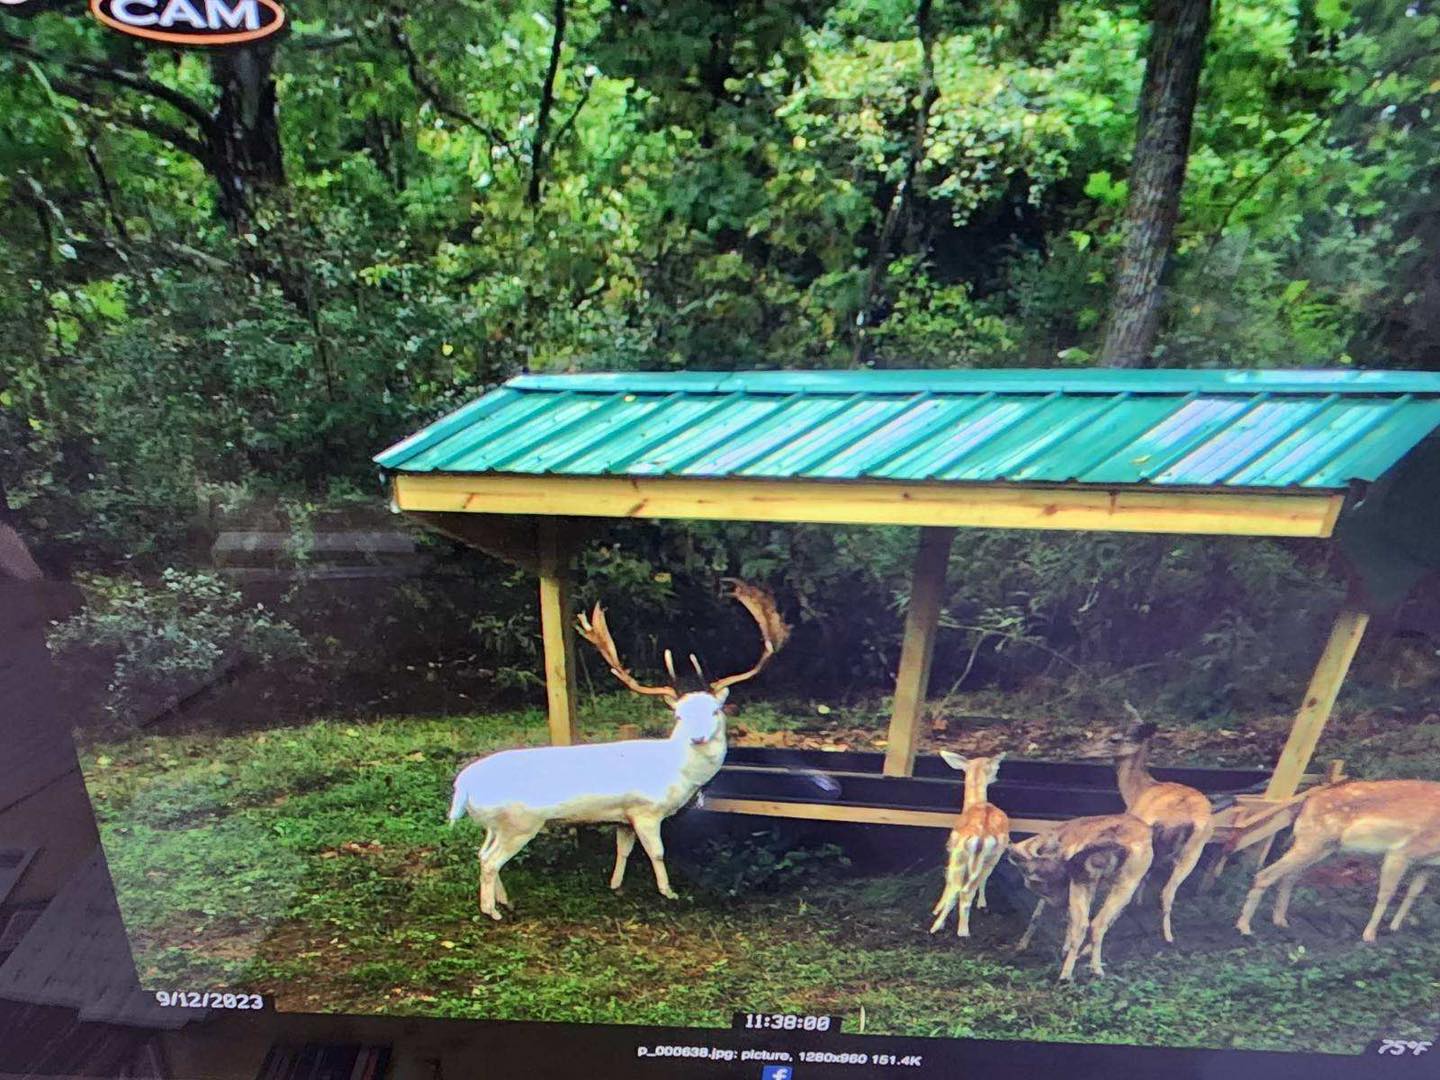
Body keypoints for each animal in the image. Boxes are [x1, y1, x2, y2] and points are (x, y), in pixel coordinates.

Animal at [448, 580, 789, 921]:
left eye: (716, 711)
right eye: (679, 715)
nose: (698, 736)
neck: (677, 773)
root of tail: (463, 786)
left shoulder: (624, 816)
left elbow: (623, 849)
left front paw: (615, 884)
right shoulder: (646, 810)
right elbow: (658, 852)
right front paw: (668, 892)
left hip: (495, 823)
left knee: (481, 853)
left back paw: (503, 900)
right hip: (519, 821)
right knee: (490, 860)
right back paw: (491, 911)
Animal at [929, 753, 1009, 937]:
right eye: (996, 768)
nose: (997, 777)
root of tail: (980, 837)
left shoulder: (952, 849)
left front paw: (937, 910)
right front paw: (982, 904)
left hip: (961, 855)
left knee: (960, 889)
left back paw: (947, 928)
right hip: (983, 856)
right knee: (967, 887)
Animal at [1007, 813, 1154, 980]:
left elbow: (1042, 914)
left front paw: (1023, 945)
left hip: (1090, 883)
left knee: (1086, 924)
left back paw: (1070, 971)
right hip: (1121, 884)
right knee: (1095, 924)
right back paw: (1091, 969)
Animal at [1079, 703, 1215, 943]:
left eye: (1114, 738)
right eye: (1102, 729)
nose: (1082, 749)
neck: (1138, 791)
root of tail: (1186, 820)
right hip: (1195, 849)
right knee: (1168, 891)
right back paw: (1168, 936)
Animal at [1236, 778, 1440, 942]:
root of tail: (1305, 805)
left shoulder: (1427, 865)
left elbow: (1413, 893)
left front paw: (1394, 929)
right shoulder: (1400, 852)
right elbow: (1386, 893)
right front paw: (1369, 936)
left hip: (1322, 847)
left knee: (1289, 877)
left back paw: (1280, 922)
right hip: (1312, 841)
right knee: (1266, 874)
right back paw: (1245, 927)